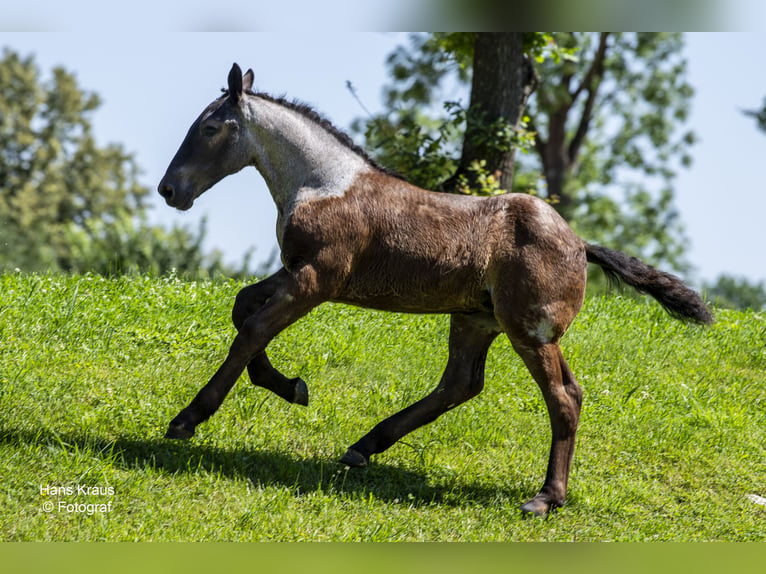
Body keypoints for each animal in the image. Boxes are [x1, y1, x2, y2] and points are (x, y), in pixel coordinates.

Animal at [156, 63, 712, 516]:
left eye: (209, 128)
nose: (169, 190)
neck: (324, 183)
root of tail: (580, 243)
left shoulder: (317, 279)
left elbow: (251, 329)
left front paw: (188, 418)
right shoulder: (294, 271)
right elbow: (242, 307)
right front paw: (290, 386)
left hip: (528, 330)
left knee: (563, 397)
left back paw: (545, 498)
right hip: (477, 319)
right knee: (461, 385)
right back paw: (364, 446)